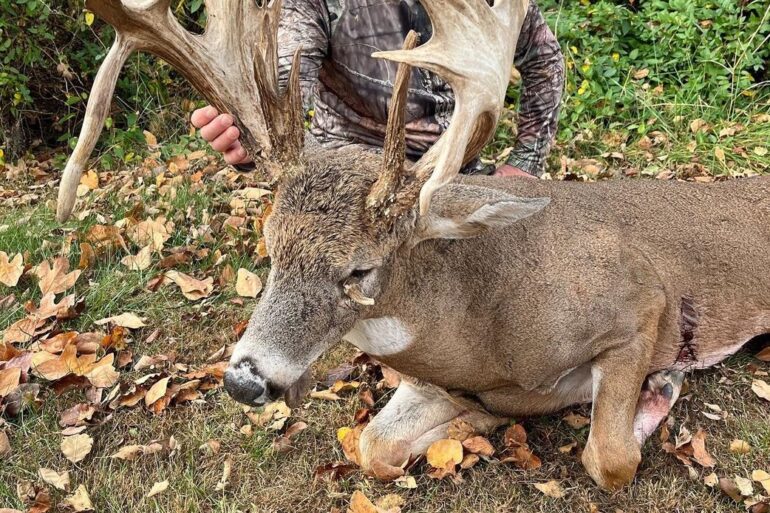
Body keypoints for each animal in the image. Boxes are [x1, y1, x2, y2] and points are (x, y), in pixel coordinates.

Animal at [56, 0, 770, 491]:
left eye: (359, 269)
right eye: (270, 247)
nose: (243, 379)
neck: (484, 333)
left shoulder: (640, 305)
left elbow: (610, 458)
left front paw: (659, 389)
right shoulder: (434, 380)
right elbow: (371, 448)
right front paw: (474, 421)